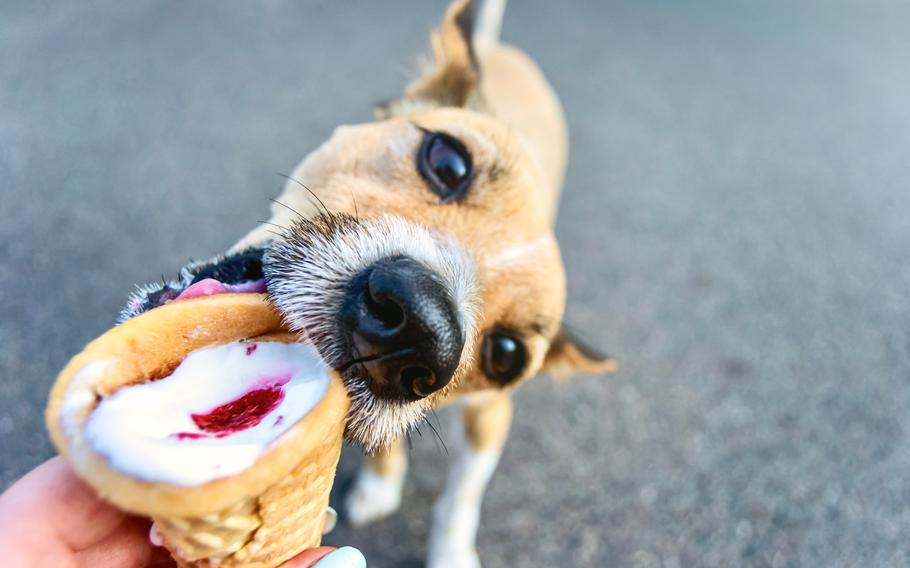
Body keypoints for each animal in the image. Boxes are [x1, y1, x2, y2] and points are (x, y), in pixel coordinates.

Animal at [123, 2, 620, 564]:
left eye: (506, 355)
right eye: (447, 160)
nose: (417, 333)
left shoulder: (491, 416)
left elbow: (462, 493)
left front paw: (449, 548)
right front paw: (382, 482)